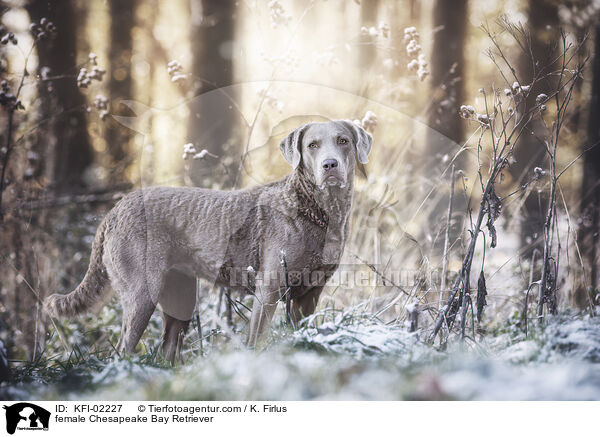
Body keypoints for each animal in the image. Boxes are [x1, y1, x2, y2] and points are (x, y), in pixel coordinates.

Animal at [45, 119, 370, 362]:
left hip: (181, 298)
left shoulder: (310, 294)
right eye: (312, 145)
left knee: (167, 352)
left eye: (343, 140)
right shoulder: (268, 288)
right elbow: (256, 338)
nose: (330, 165)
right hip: (141, 293)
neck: (318, 211)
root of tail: (114, 210)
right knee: (123, 349)